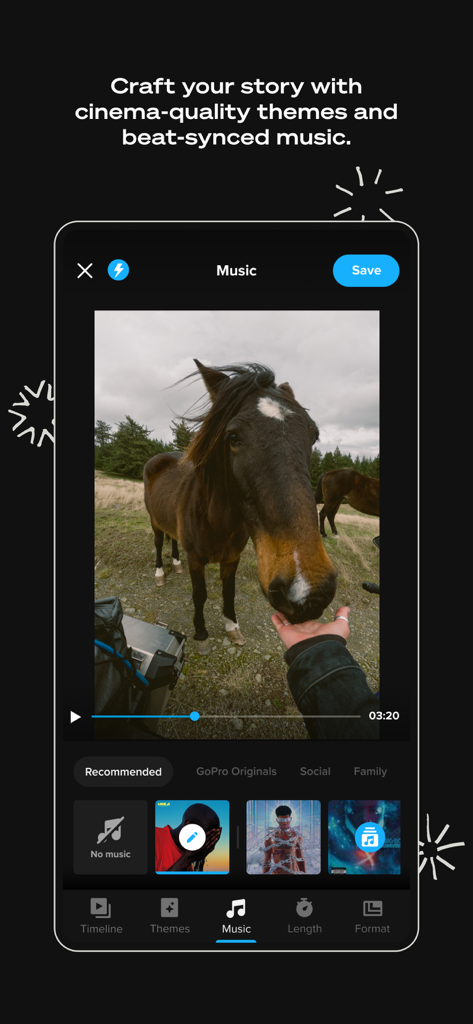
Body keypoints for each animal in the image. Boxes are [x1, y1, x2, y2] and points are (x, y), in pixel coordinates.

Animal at [144, 361, 337, 654]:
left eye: (313, 436)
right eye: (232, 437)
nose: (308, 591)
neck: (215, 520)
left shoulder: (231, 557)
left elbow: (228, 591)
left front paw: (232, 627)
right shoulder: (196, 559)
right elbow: (199, 595)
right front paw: (201, 634)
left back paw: (175, 564)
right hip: (153, 520)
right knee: (157, 543)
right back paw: (159, 573)